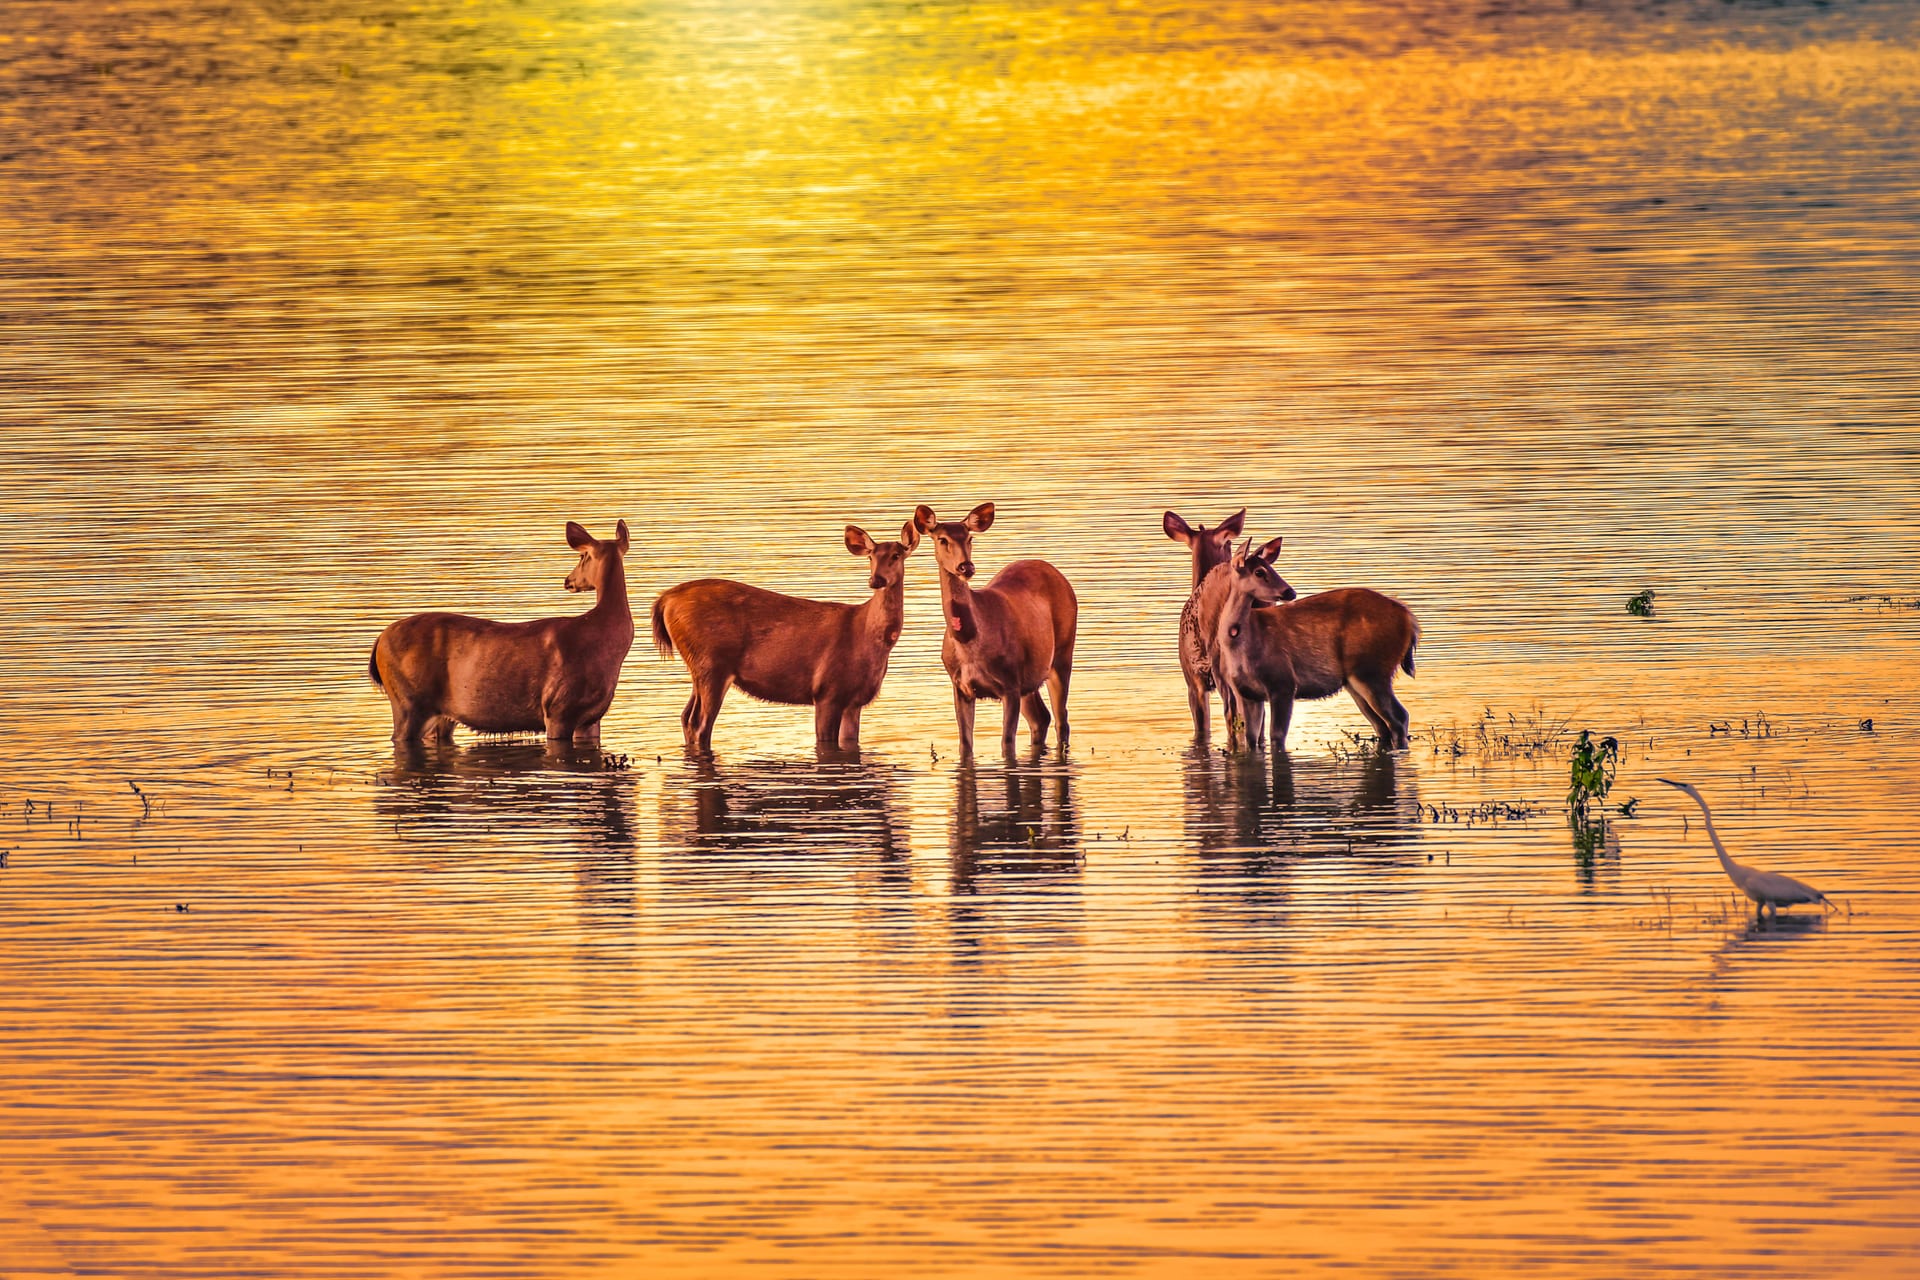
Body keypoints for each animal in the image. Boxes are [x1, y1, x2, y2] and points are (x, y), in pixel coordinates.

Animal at [368, 520, 634, 744]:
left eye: (581, 556)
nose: (567, 580)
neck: (603, 639)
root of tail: (378, 642)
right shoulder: (558, 708)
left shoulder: (591, 718)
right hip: (407, 701)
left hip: (438, 715)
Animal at [651, 519, 921, 752]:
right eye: (870, 556)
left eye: (896, 555)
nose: (876, 579)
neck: (870, 638)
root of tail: (665, 600)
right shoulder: (827, 691)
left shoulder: (855, 700)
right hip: (711, 664)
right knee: (700, 724)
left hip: (699, 668)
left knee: (686, 717)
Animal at [914, 502, 1077, 757]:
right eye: (942, 539)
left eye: (969, 537)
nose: (966, 566)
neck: (970, 644)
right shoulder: (959, 686)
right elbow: (965, 744)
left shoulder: (1010, 683)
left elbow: (1007, 743)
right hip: (1030, 677)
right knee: (1041, 718)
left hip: (1062, 653)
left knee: (1062, 719)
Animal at [1209, 536, 1418, 752]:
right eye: (1259, 571)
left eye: (1270, 567)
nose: (1290, 592)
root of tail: (1409, 619)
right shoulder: (1246, 692)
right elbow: (1251, 739)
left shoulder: (1283, 682)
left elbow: (1277, 737)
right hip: (1356, 681)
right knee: (1382, 726)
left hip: (1372, 670)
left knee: (1399, 718)